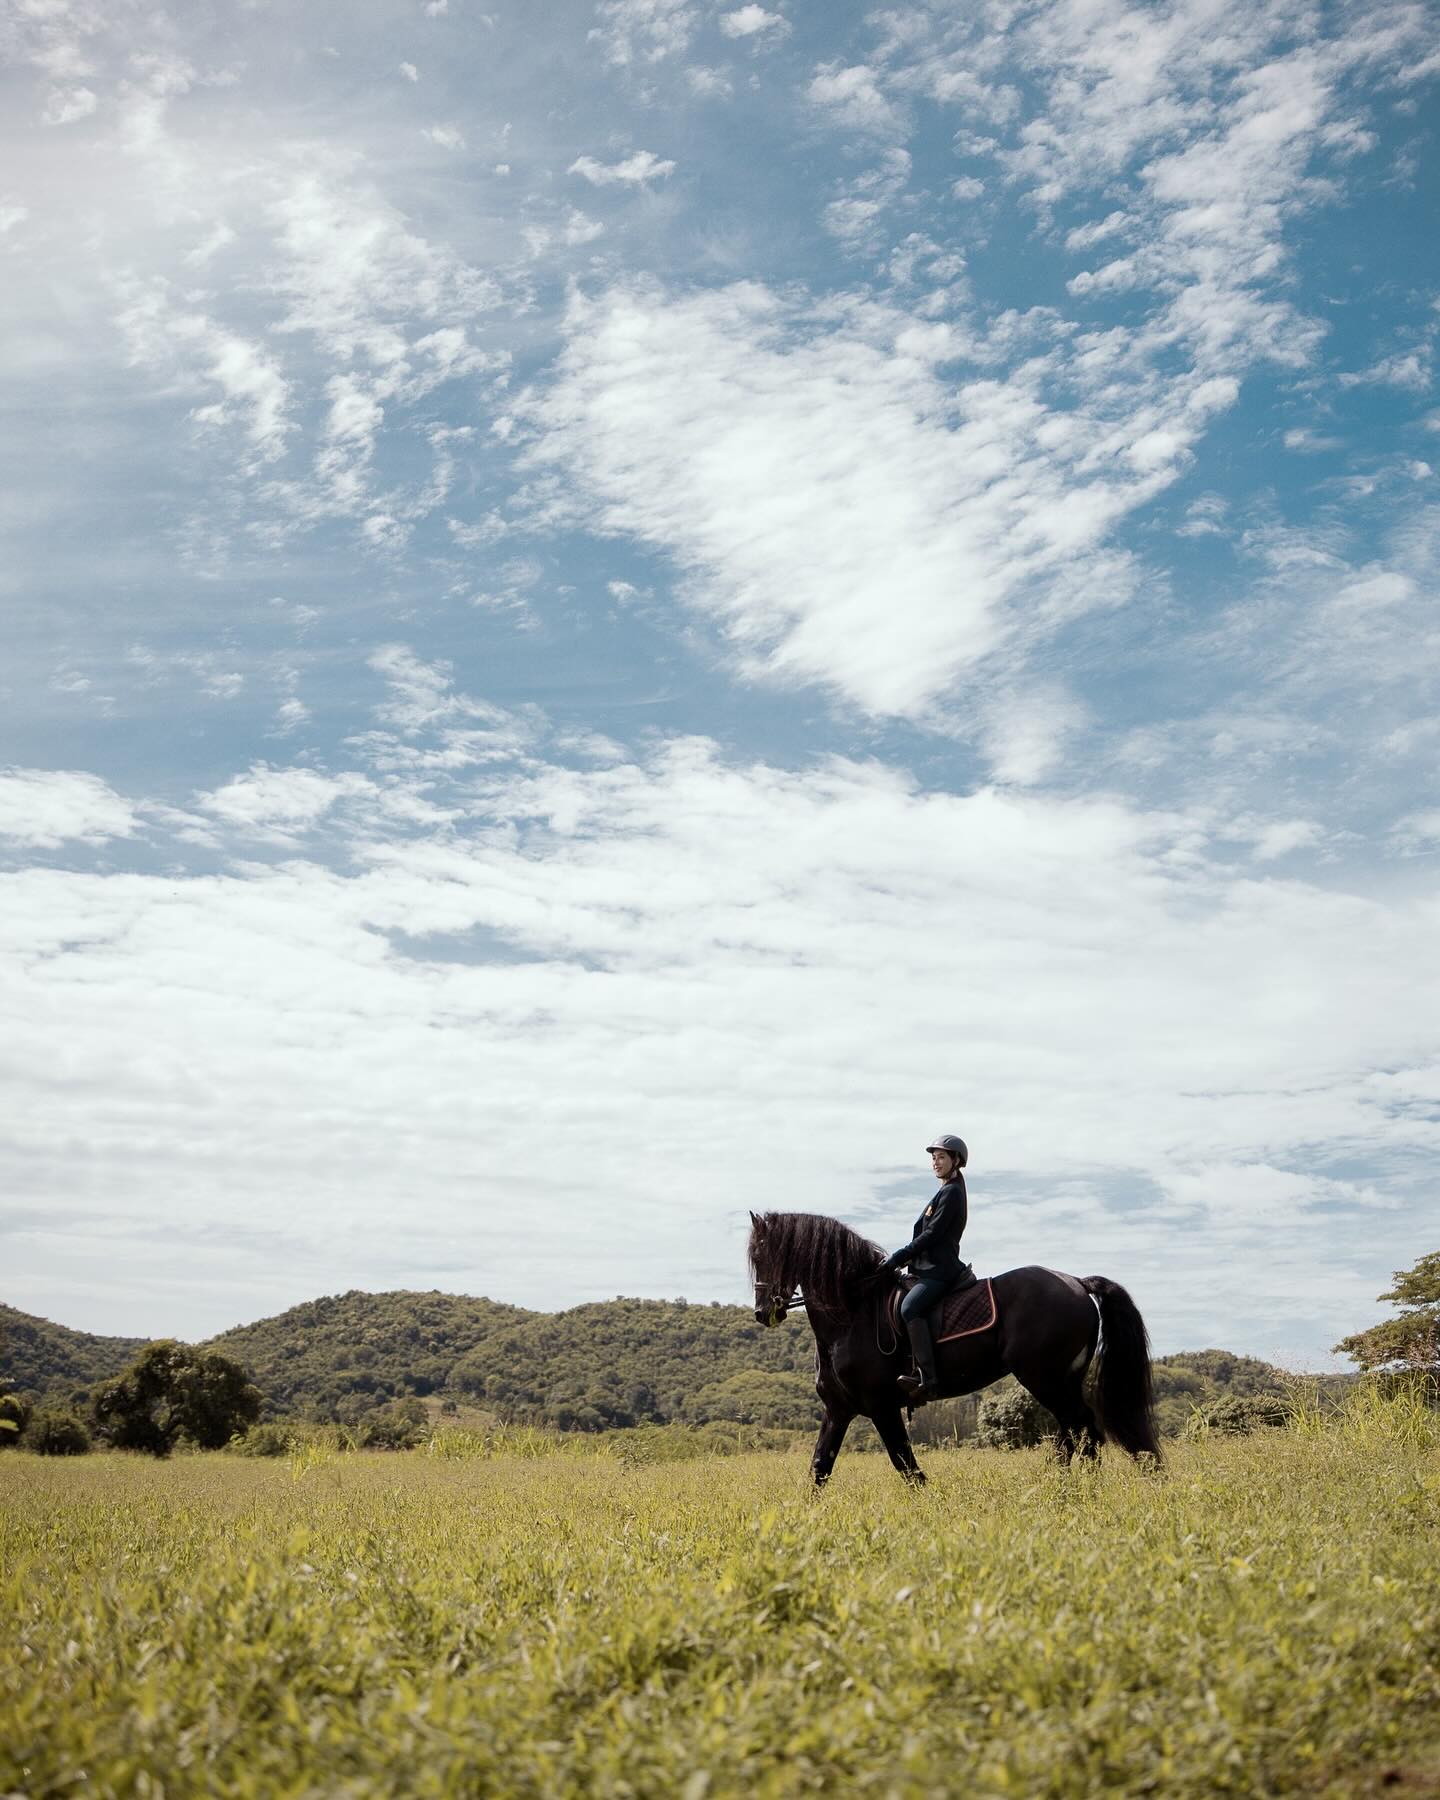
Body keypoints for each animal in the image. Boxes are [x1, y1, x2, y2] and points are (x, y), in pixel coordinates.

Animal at [748, 1209, 1166, 1490]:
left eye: (765, 1255)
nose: (763, 1313)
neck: (853, 1313)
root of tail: (1077, 1282)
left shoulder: (881, 1406)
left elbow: (907, 1467)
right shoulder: (839, 1409)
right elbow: (820, 1468)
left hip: (1043, 1378)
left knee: (1084, 1431)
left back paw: (1076, 1491)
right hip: (1060, 1380)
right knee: (1074, 1433)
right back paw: (1058, 1487)